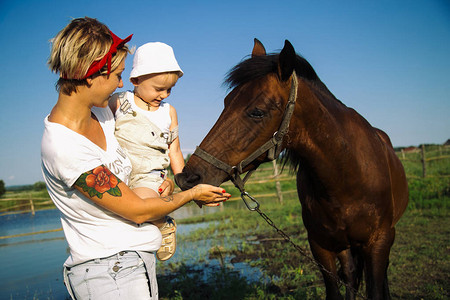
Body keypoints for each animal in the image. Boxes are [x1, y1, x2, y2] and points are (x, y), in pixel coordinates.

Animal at [175, 39, 408, 300]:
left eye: (257, 111)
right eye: (226, 102)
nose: (187, 178)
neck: (347, 178)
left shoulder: (379, 242)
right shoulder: (320, 246)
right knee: (349, 274)